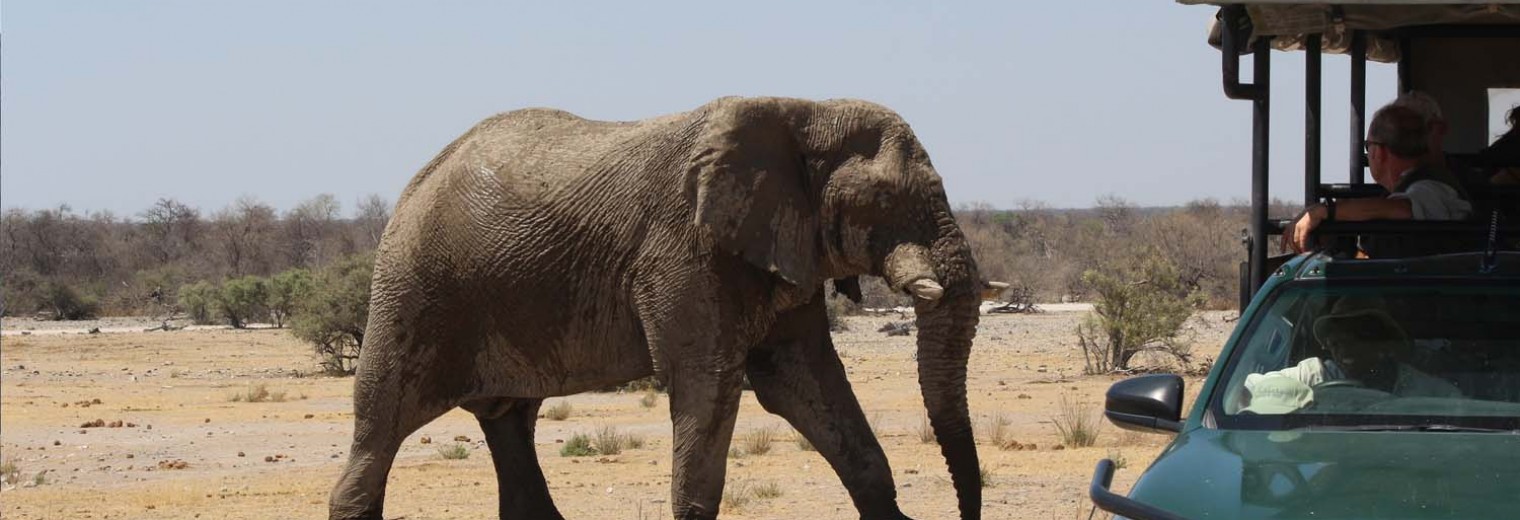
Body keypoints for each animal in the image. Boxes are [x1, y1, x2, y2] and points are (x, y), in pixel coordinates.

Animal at [331, 97, 984, 520]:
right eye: (886, 198)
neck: (804, 110)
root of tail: (418, 178)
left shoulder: (784, 251)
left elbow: (805, 382)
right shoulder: (683, 251)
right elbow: (707, 385)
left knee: (508, 423)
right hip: (414, 289)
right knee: (381, 423)